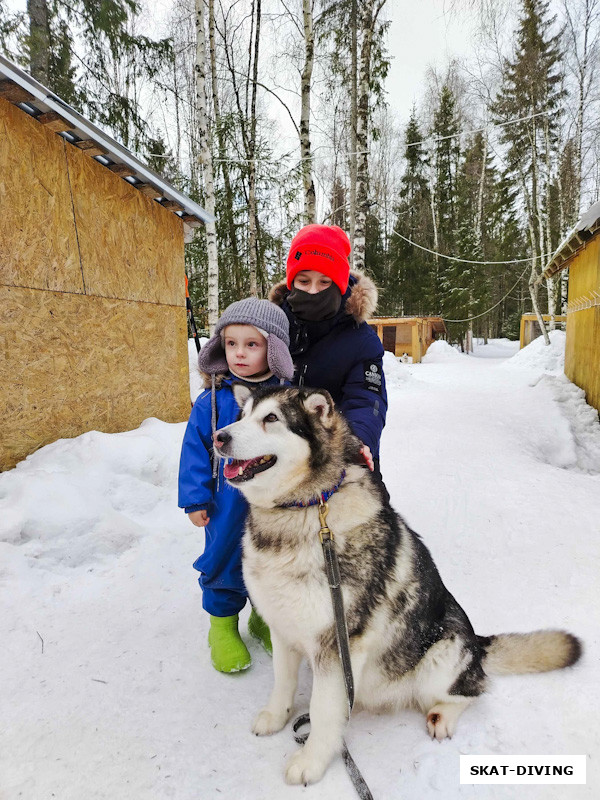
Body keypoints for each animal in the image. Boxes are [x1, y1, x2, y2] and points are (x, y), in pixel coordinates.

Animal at [214, 384, 580, 784]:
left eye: (271, 418)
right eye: (242, 415)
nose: (219, 437)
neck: (306, 510)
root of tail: (477, 644)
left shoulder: (338, 644)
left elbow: (324, 711)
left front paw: (311, 761)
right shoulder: (283, 627)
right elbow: (283, 682)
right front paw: (276, 716)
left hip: (441, 657)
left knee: (474, 690)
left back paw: (443, 715)